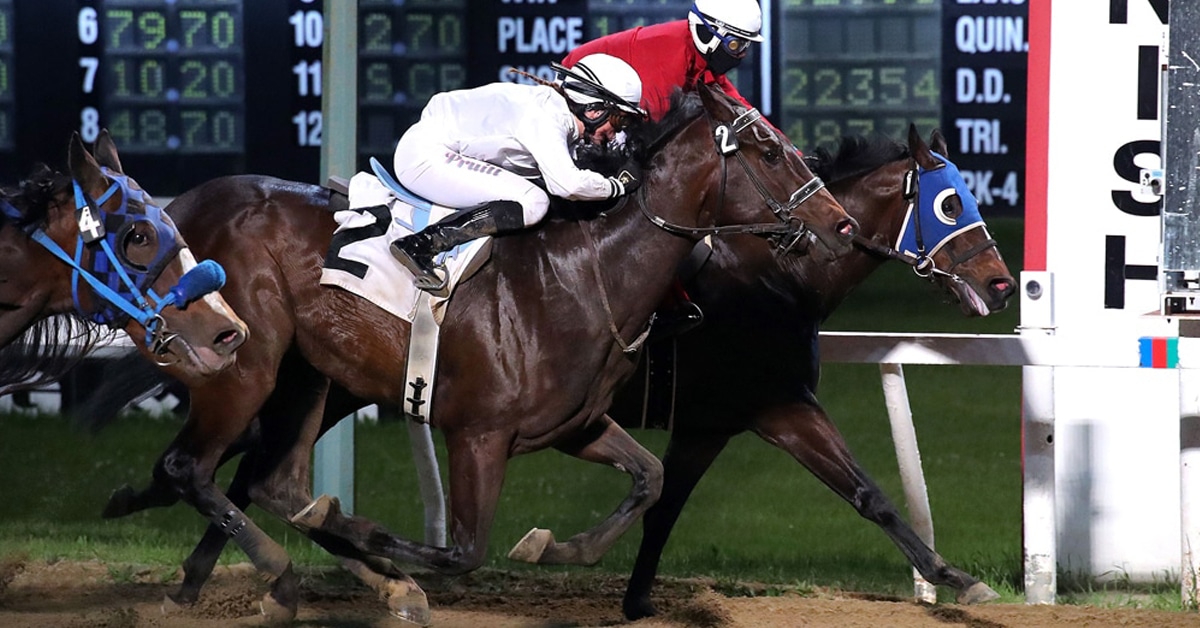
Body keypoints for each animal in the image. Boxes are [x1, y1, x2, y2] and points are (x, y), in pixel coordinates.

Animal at [93, 83, 859, 623]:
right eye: (769, 151)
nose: (842, 224)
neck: (587, 272)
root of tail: (173, 209)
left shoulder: (573, 425)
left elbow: (649, 478)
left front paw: (554, 547)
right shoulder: (477, 435)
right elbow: (460, 551)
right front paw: (373, 543)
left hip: (312, 376)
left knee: (272, 478)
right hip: (245, 364)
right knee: (191, 466)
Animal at [602, 125, 1016, 619]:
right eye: (950, 205)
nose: (1002, 285)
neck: (781, 274)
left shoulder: (706, 426)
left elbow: (664, 510)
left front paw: (637, 602)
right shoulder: (784, 407)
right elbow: (869, 493)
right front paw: (955, 576)